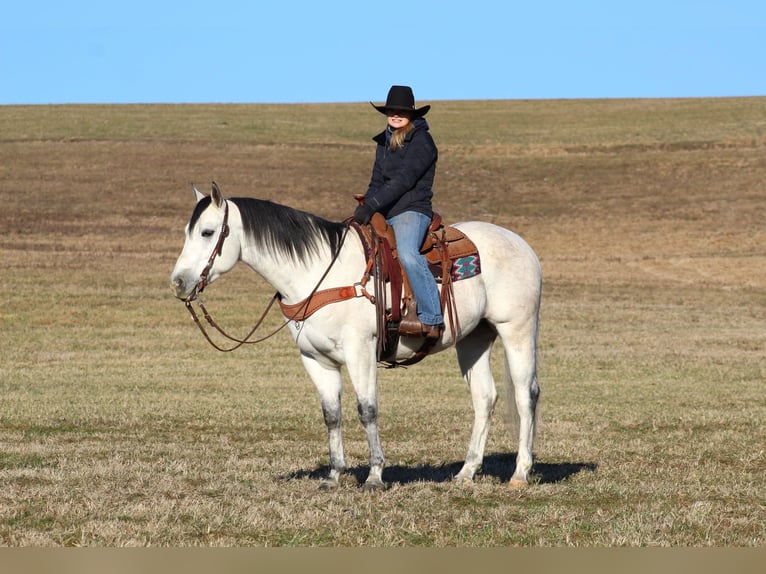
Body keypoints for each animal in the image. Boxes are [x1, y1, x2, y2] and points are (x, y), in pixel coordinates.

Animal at [171, 183, 544, 490]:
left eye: (207, 232)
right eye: (188, 231)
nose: (178, 282)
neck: (317, 273)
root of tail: (522, 245)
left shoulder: (360, 351)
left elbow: (367, 409)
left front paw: (375, 476)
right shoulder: (315, 359)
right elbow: (331, 414)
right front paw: (334, 475)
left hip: (517, 329)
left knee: (526, 395)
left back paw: (520, 473)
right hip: (474, 338)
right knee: (484, 397)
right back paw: (466, 472)